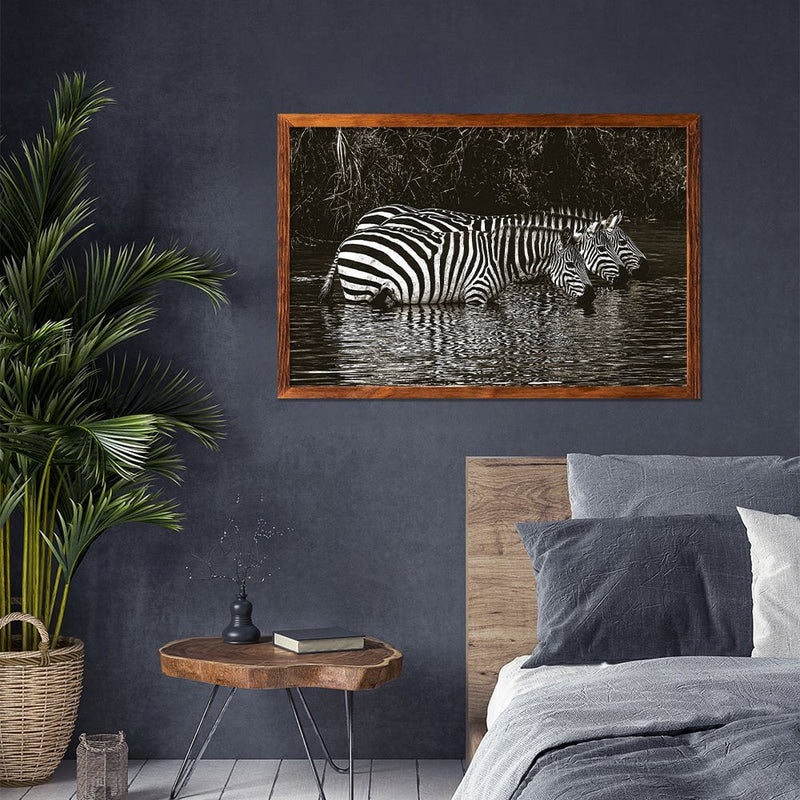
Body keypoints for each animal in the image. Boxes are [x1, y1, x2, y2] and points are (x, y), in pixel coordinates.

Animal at [318, 224, 595, 309]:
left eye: (585, 263)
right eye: (571, 264)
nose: (592, 297)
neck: (500, 258)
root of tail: (346, 240)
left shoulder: (490, 298)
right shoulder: (476, 295)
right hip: (360, 291)